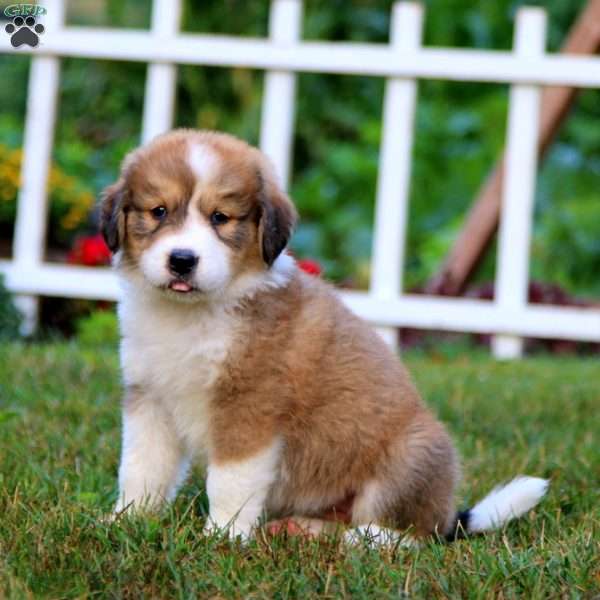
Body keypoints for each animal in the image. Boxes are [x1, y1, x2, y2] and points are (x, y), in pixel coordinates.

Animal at [102, 130, 548, 544]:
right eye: (158, 211)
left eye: (220, 218)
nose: (182, 260)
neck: (191, 314)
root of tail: (448, 517)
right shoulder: (150, 399)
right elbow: (141, 467)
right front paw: (126, 520)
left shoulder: (248, 407)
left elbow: (230, 481)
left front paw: (223, 535)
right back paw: (300, 528)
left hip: (410, 454)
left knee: (408, 534)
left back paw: (360, 540)